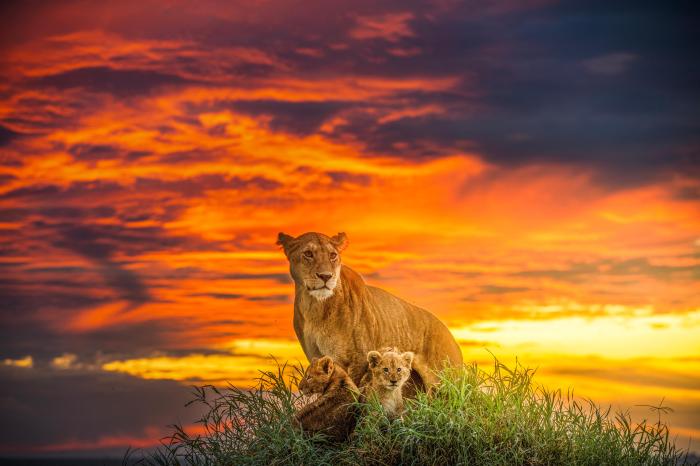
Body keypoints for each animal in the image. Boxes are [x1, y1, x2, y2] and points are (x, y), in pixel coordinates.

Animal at [276, 230, 462, 390]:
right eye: (308, 253)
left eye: (332, 255)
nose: (326, 276)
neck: (315, 308)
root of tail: (449, 333)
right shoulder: (316, 357)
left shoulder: (358, 360)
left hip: (446, 378)